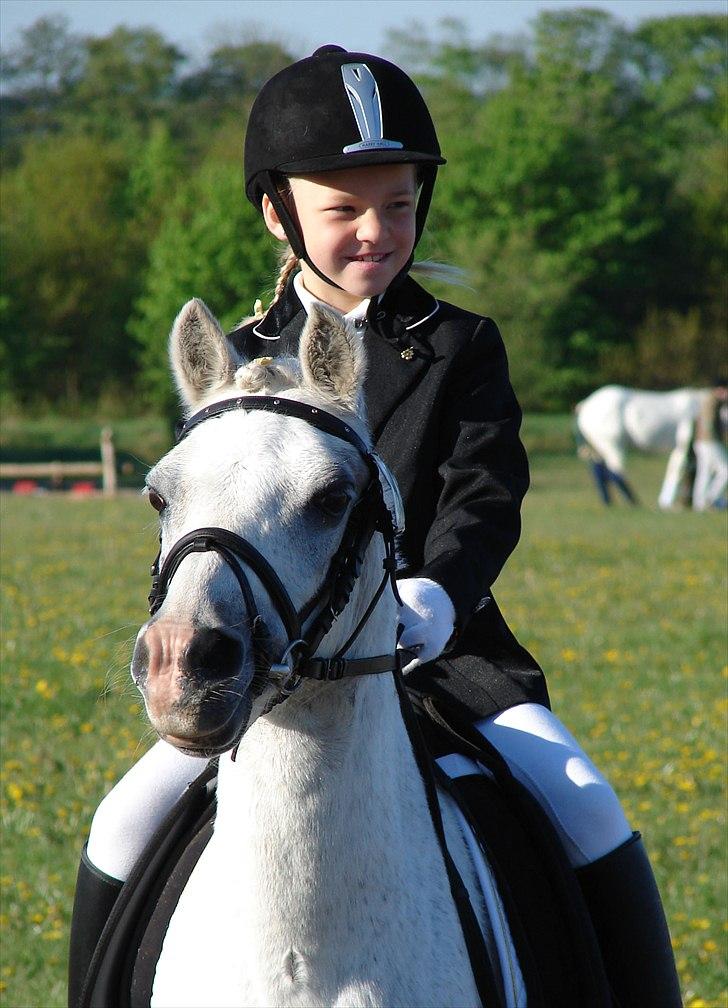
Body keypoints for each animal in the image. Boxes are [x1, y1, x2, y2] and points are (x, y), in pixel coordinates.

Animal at [568, 387, 705, 512]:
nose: (687, 503)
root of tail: (585, 404)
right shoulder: (681, 444)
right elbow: (676, 469)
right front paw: (667, 502)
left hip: (599, 448)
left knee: (600, 471)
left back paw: (610, 501)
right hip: (613, 445)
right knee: (615, 471)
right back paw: (633, 502)